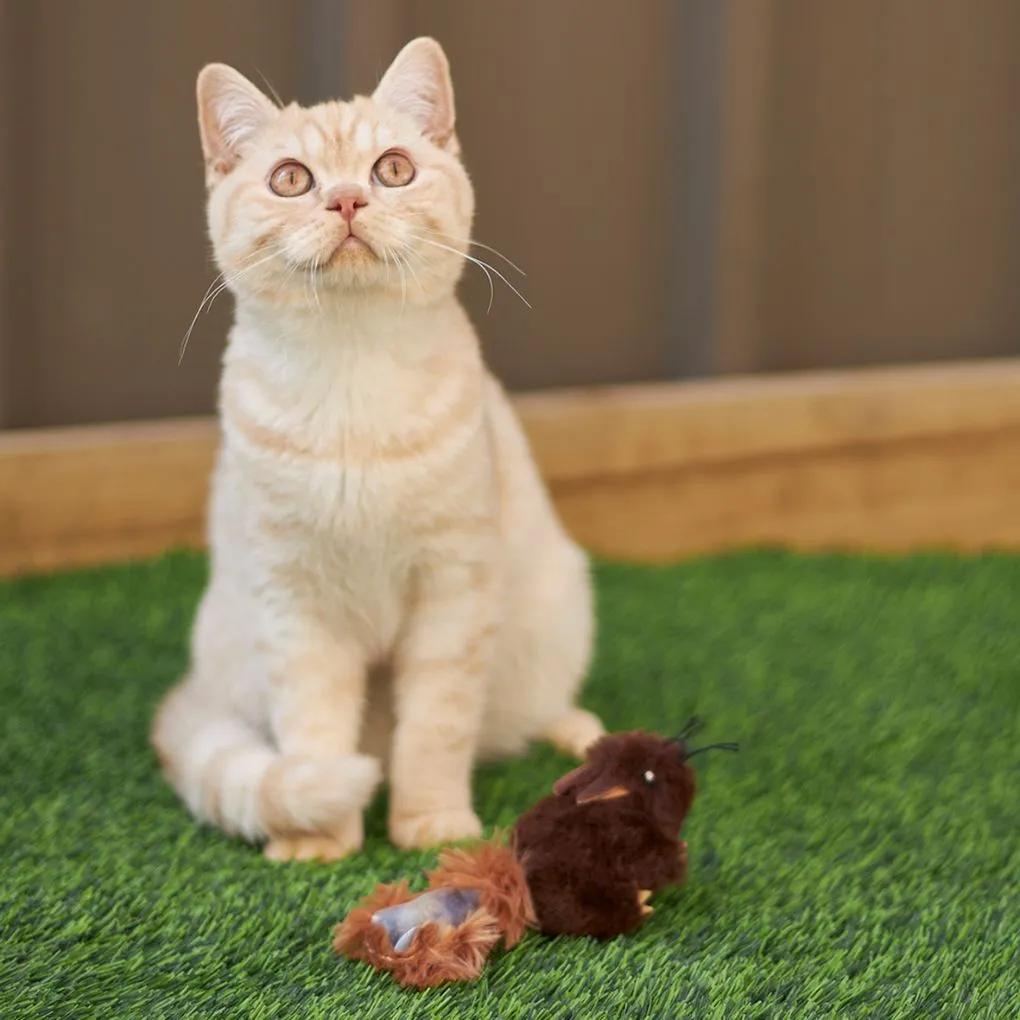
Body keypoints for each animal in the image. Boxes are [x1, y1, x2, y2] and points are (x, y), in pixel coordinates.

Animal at [147, 37, 599, 860]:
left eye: (392, 169)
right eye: (292, 179)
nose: (349, 200)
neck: (351, 379)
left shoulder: (452, 590)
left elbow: (436, 728)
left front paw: (433, 827)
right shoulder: (296, 606)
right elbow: (313, 732)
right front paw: (317, 837)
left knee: (522, 713)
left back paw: (579, 737)